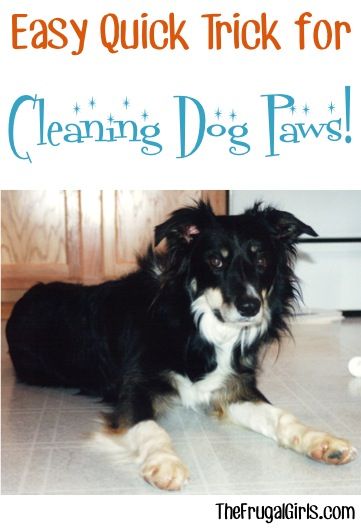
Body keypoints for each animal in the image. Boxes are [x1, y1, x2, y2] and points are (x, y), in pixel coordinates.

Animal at [5, 200, 354, 488]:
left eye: (262, 260)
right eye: (215, 261)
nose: (250, 307)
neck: (196, 326)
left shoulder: (233, 389)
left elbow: (281, 416)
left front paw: (320, 441)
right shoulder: (134, 388)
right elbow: (149, 428)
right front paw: (165, 462)